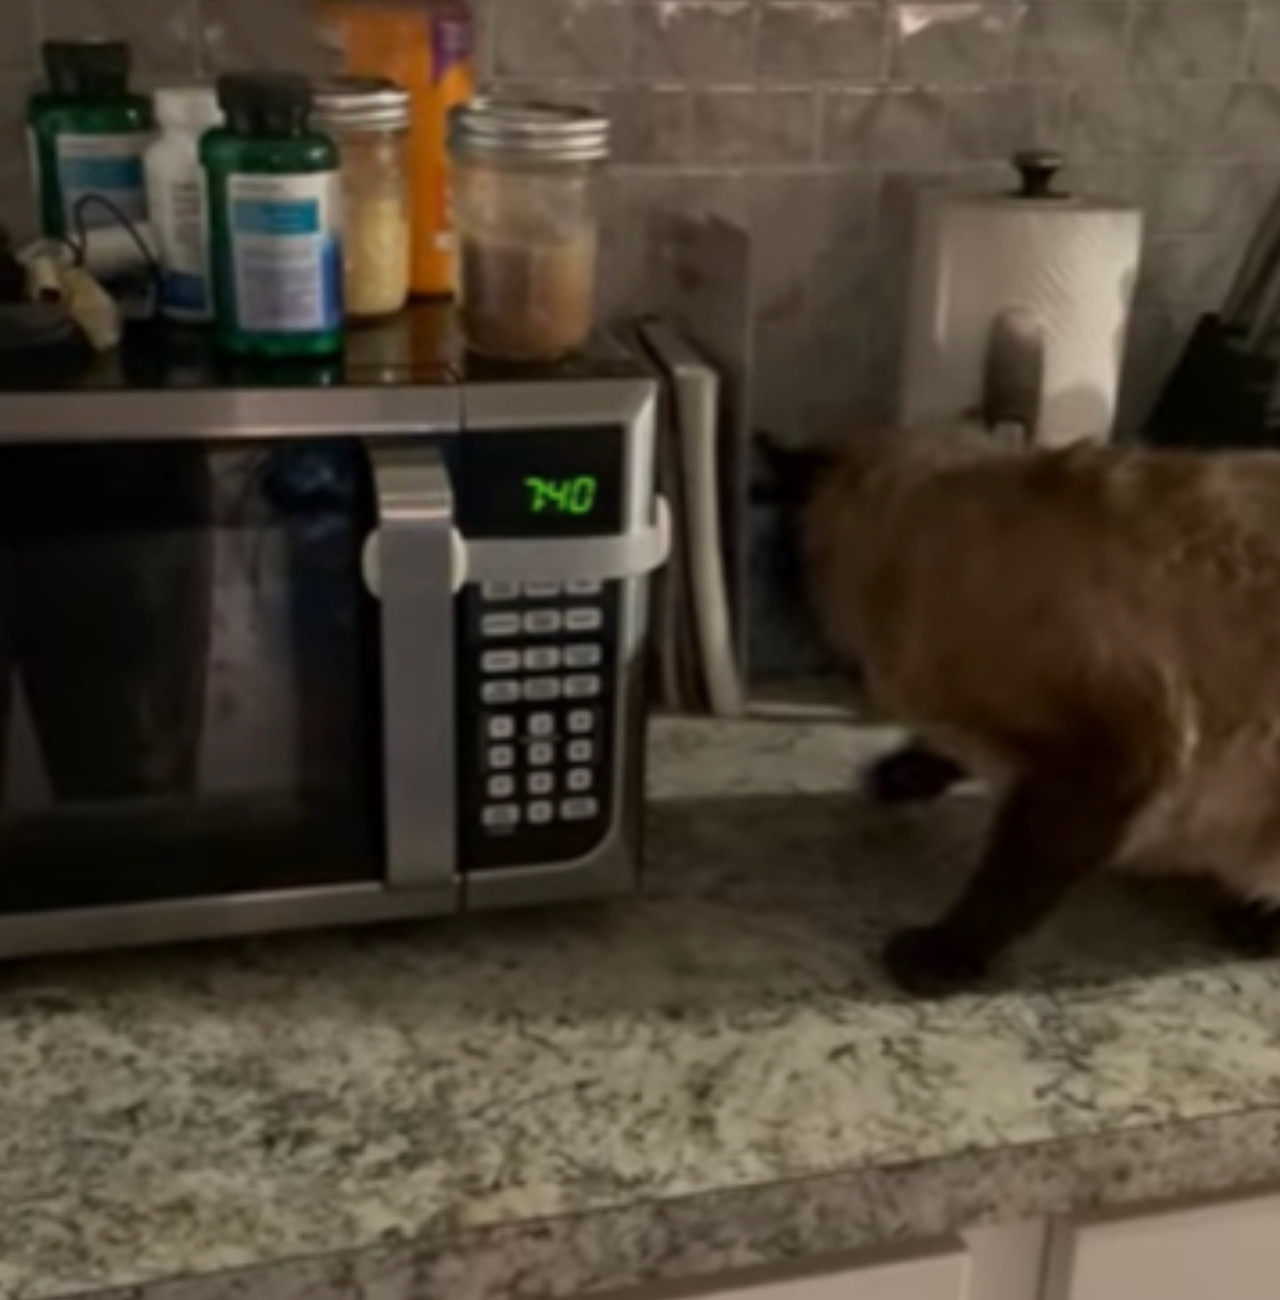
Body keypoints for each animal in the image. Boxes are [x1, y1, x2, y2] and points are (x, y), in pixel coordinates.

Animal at [805, 426, 1280, 993]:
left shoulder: (1106, 758)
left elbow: (1010, 878)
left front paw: (941, 955)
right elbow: (942, 754)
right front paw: (898, 775)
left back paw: (1251, 925)